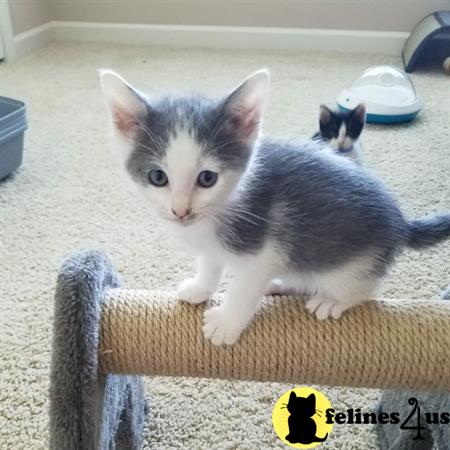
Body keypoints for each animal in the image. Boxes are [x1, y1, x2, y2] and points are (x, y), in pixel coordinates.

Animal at [101, 69, 450, 344]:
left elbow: (244, 288)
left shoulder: (262, 250)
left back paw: (332, 300)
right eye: (158, 177)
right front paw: (200, 288)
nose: (181, 211)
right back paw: (284, 284)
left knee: (365, 288)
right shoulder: (214, 243)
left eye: (207, 178)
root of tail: (400, 222)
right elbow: (211, 263)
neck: (223, 206)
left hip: (352, 264)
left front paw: (226, 324)